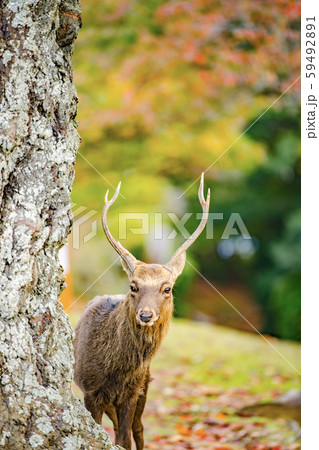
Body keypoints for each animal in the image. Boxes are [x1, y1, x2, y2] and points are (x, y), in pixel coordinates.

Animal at [74, 174, 211, 450]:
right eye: (133, 286)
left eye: (167, 288)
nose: (146, 315)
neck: (115, 370)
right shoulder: (90, 390)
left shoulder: (132, 392)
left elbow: (126, 439)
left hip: (145, 385)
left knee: (138, 428)